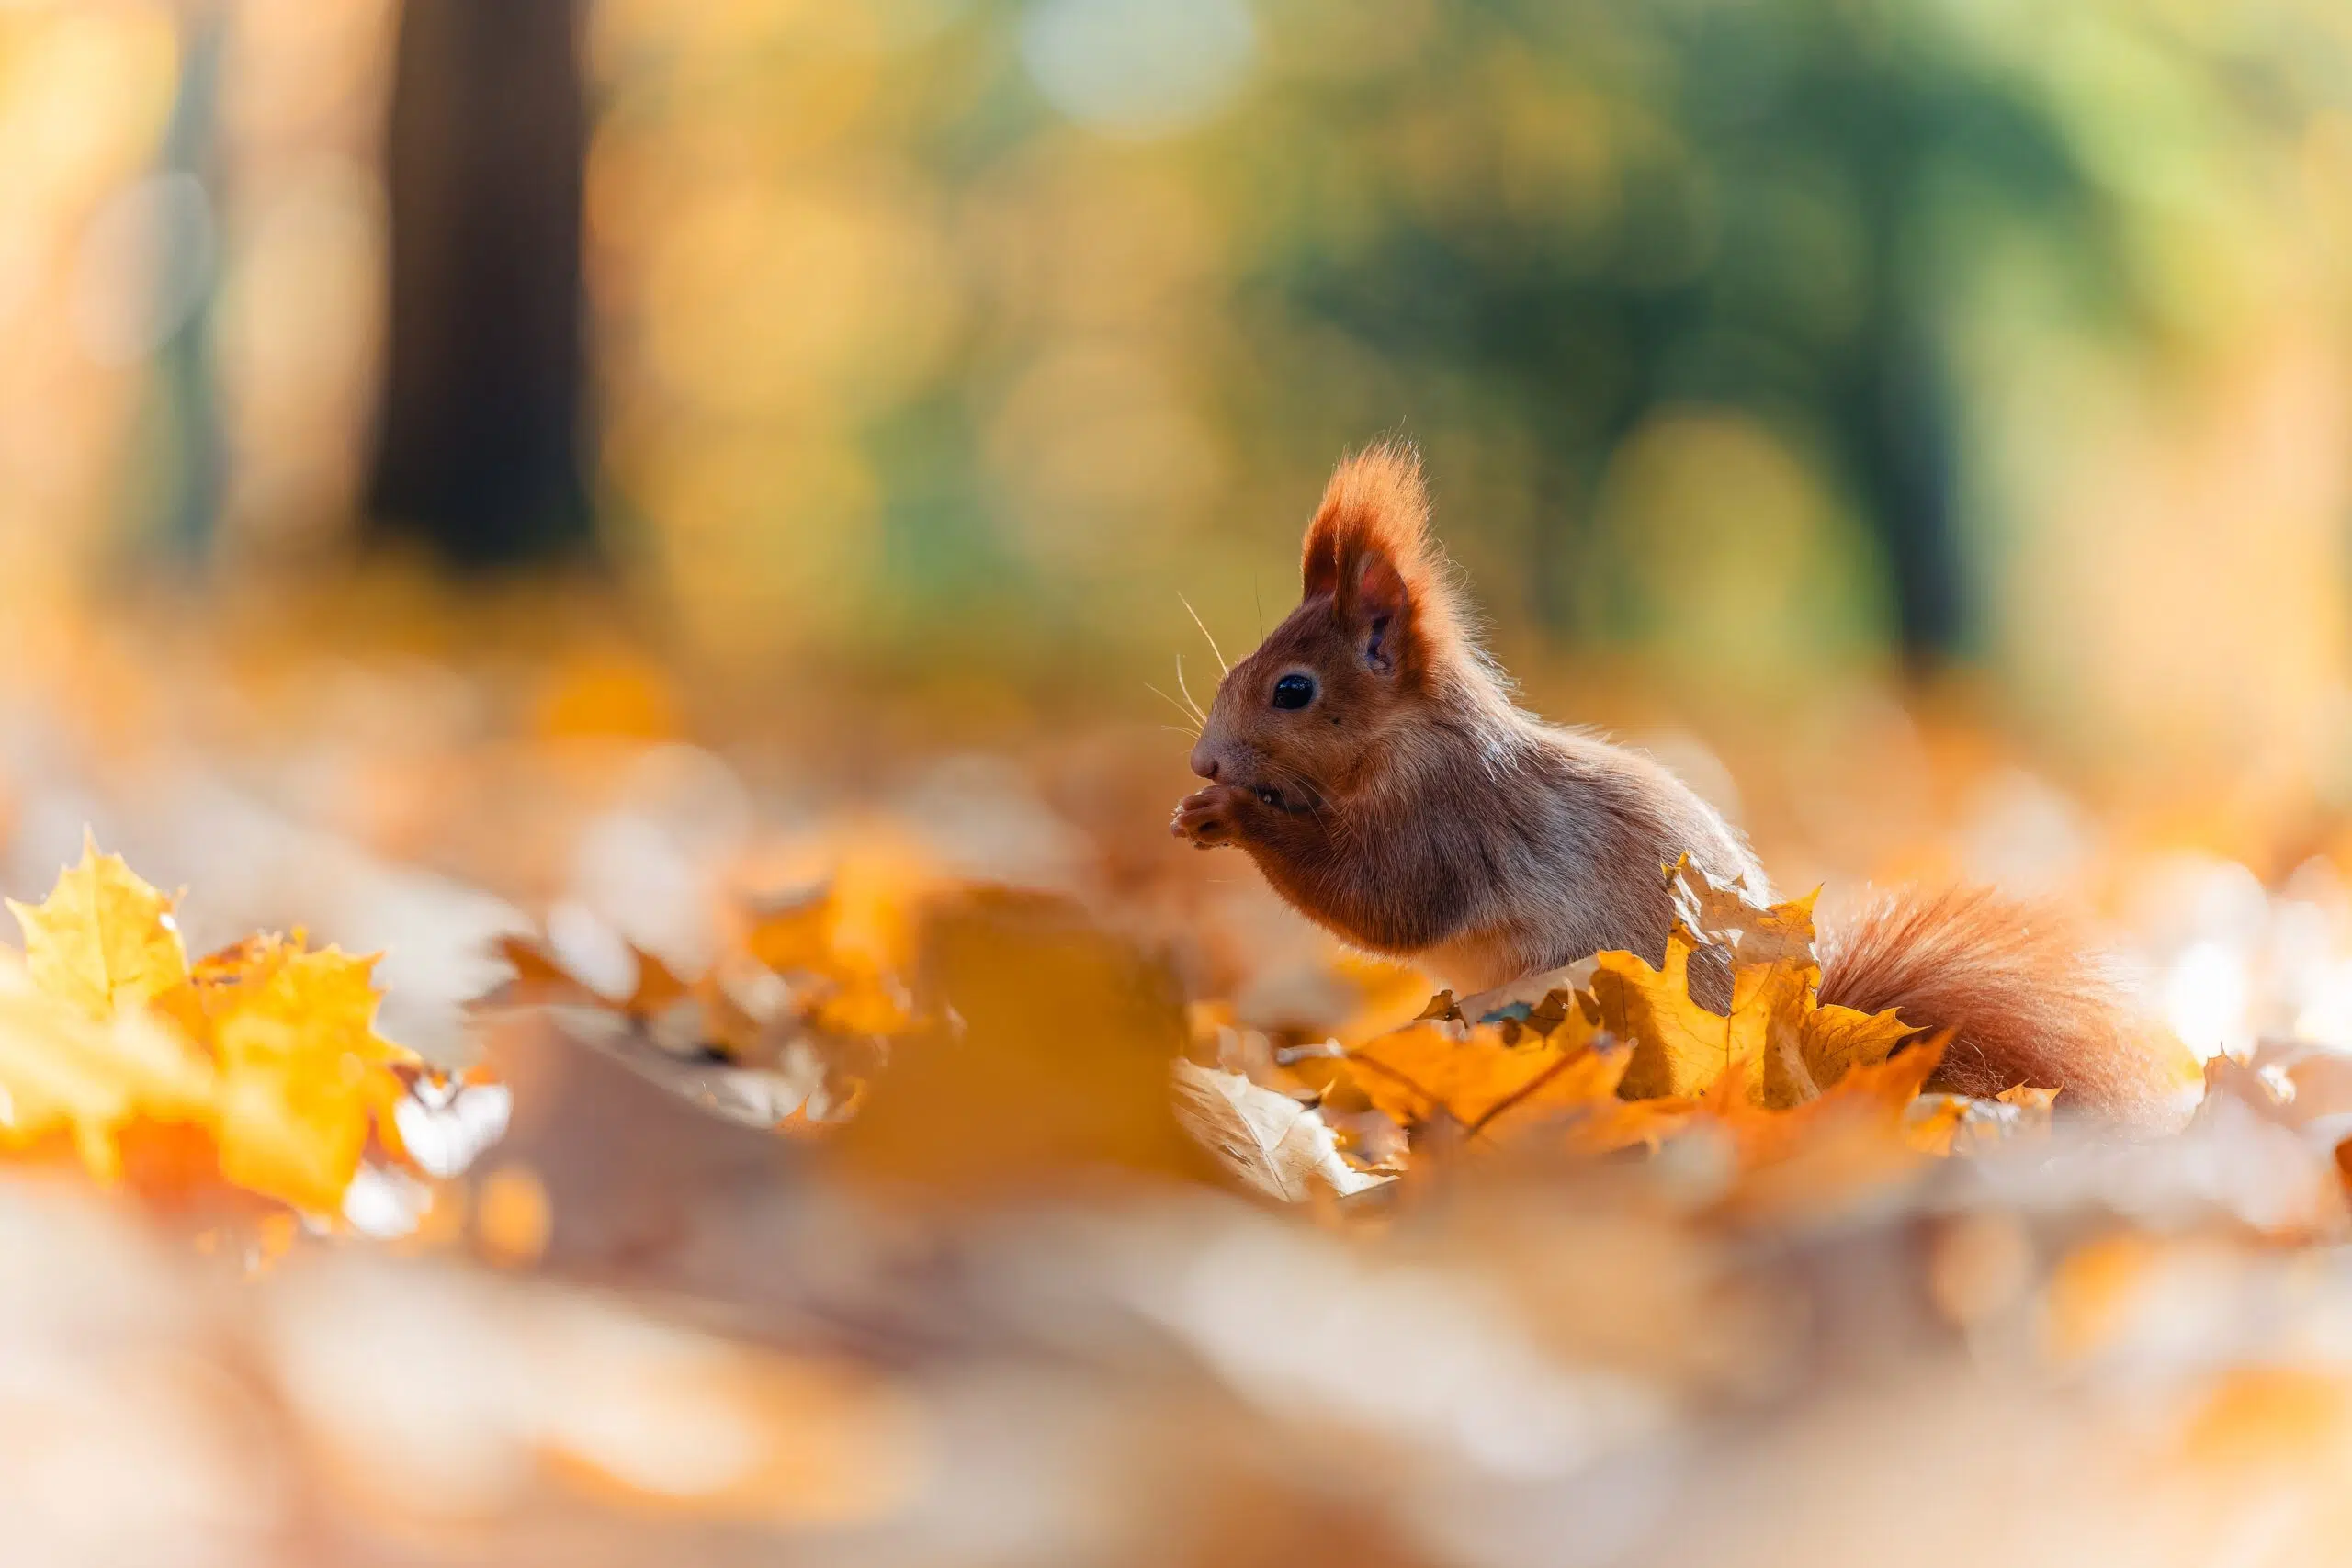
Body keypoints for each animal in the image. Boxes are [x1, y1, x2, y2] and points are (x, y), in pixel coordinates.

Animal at [1176, 446, 2201, 1123]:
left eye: (1293, 690)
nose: (1204, 763)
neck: (1403, 742)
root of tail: (1789, 1066)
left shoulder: (1453, 819)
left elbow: (1386, 903)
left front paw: (1235, 815)